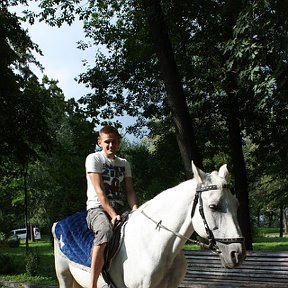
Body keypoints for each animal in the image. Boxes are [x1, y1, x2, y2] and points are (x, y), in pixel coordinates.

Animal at [53, 163, 245, 286]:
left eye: (237, 205)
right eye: (213, 206)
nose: (237, 254)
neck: (156, 244)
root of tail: (58, 223)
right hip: (64, 276)